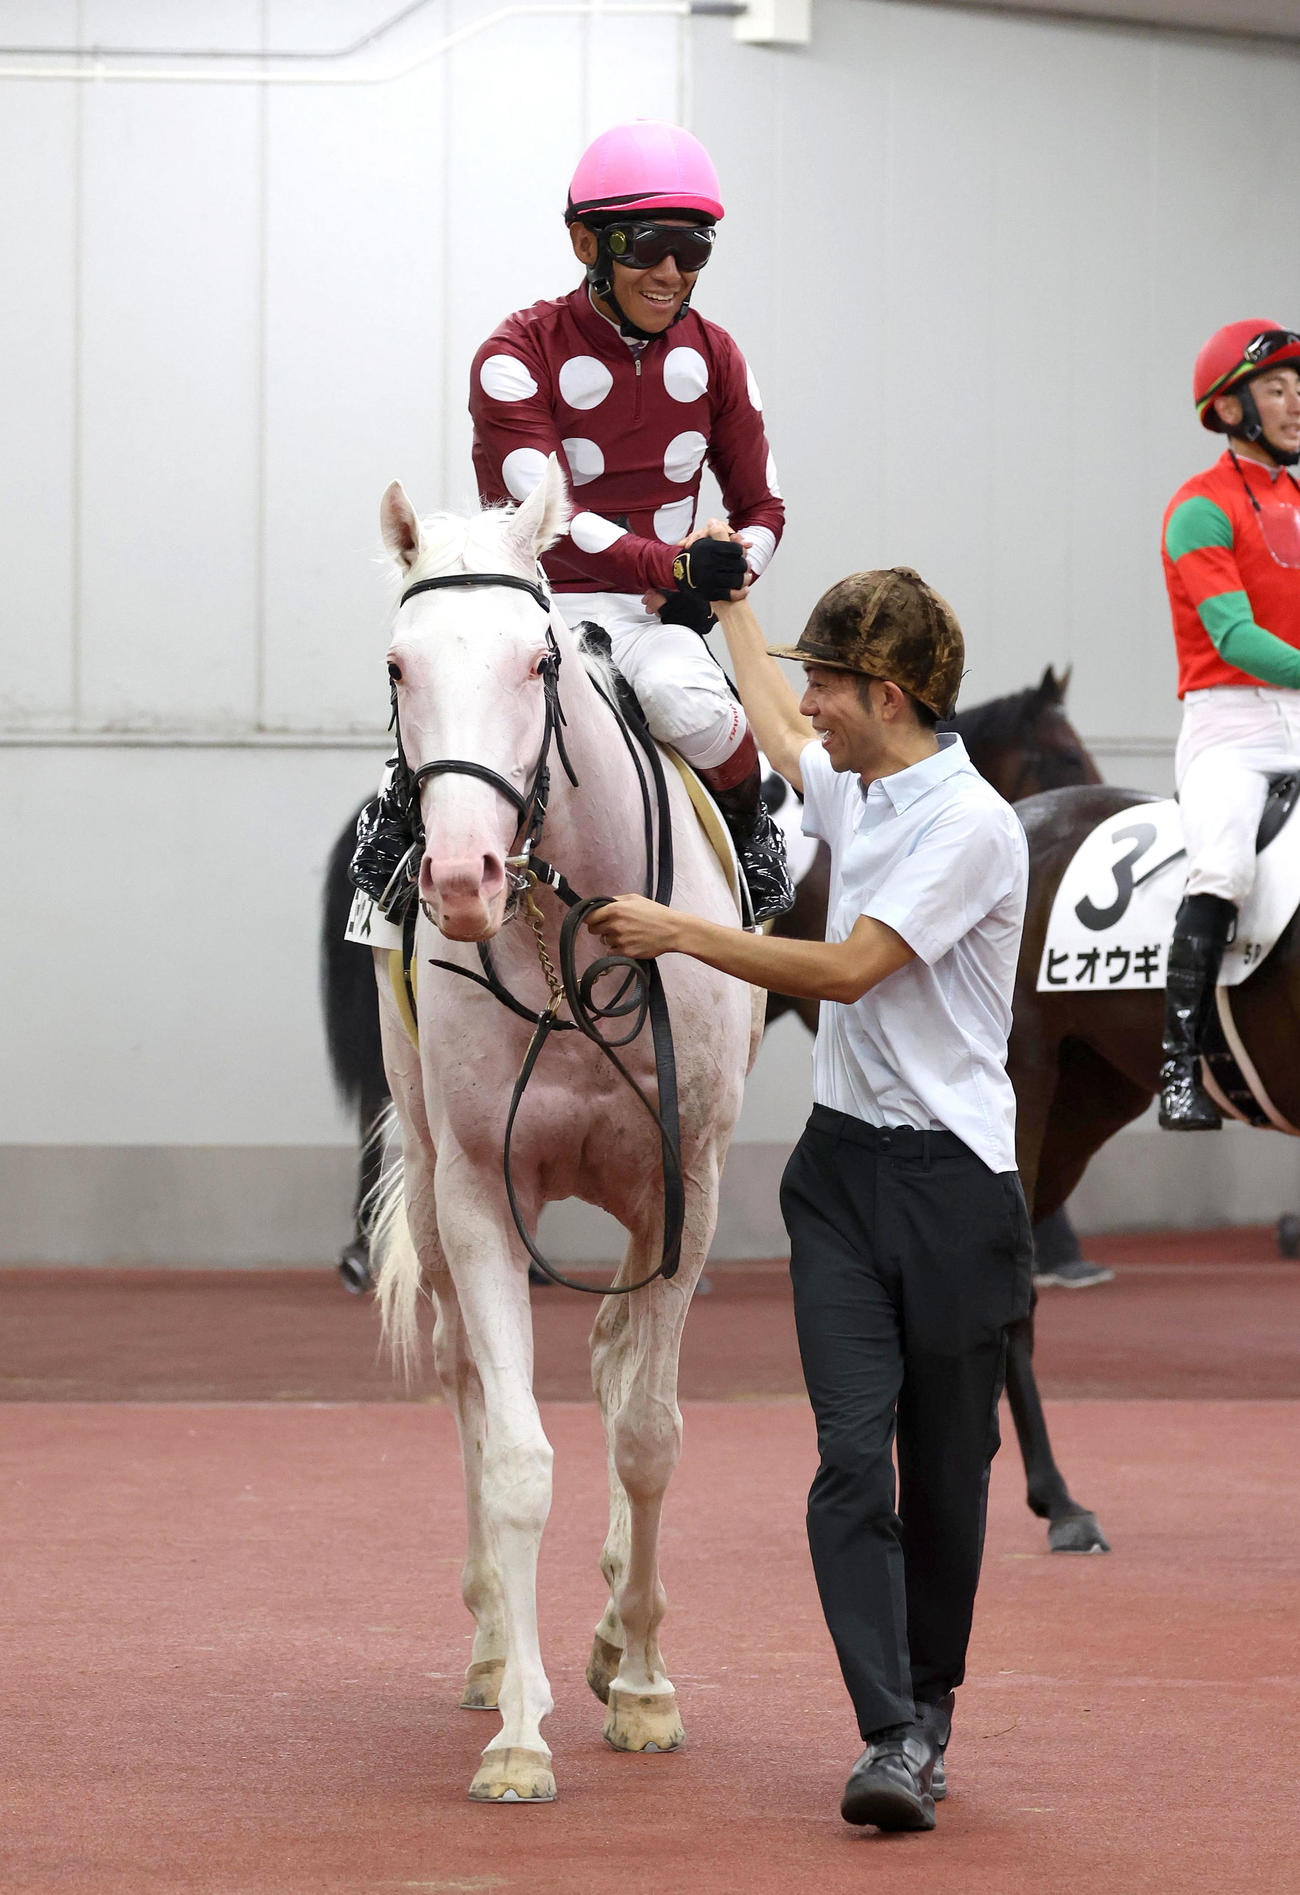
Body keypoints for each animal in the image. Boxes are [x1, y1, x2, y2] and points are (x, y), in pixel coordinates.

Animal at [368, 456, 758, 1803]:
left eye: (537, 660)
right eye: (398, 664)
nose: (461, 876)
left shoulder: (687, 1181)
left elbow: (646, 1432)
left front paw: (640, 1684)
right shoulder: (482, 1190)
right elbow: (515, 1451)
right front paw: (520, 1728)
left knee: (611, 1359)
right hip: (434, 1175)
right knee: (467, 1384)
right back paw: (499, 1646)